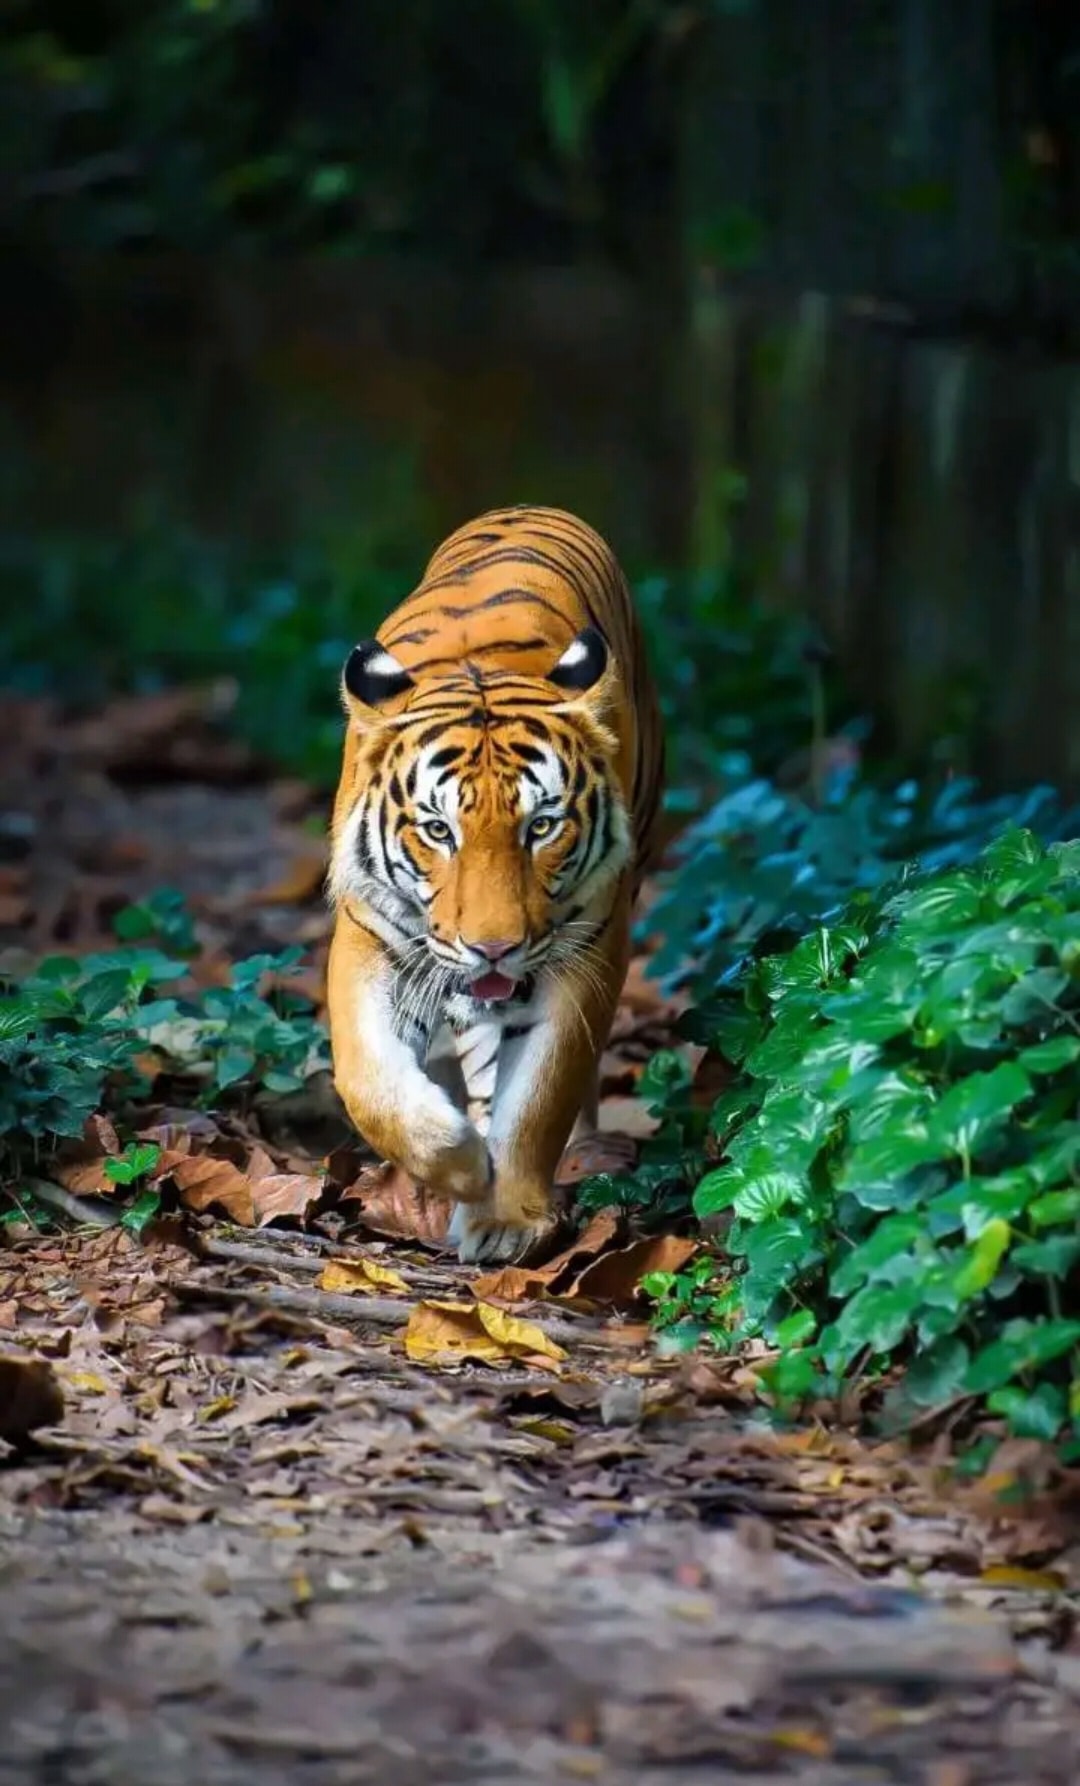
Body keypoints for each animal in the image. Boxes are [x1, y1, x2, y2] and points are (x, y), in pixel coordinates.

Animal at [326, 496, 664, 1264]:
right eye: (437, 830)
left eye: (540, 827)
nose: (493, 949)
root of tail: (529, 504)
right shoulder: (369, 934)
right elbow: (368, 1080)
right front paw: (457, 1161)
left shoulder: (588, 950)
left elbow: (541, 1095)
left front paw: (505, 1214)